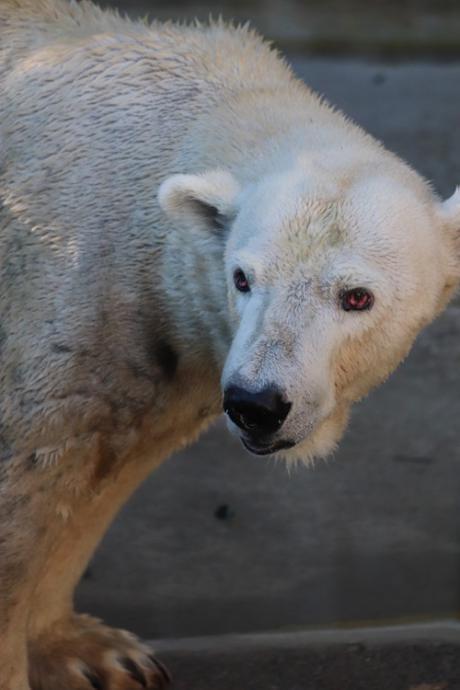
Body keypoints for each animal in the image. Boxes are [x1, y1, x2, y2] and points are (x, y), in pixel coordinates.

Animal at [0, 0, 459, 688]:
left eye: (356, 296)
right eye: (243, 277)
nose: (256, 403)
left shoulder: (158, 356)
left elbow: (103, 470)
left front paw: (97, 653)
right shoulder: (61, 304)